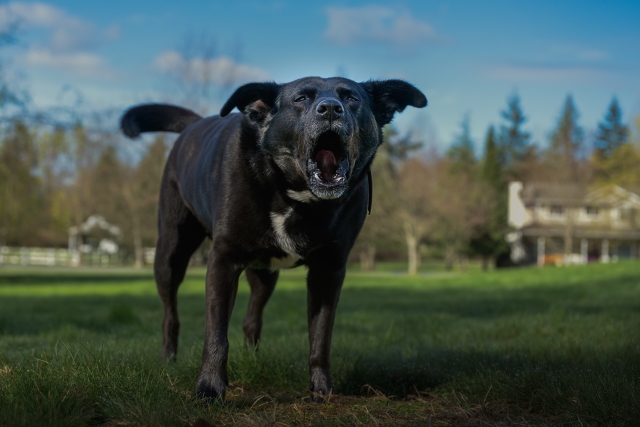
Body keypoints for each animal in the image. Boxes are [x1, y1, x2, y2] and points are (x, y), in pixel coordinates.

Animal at [122, 76, 428, 402]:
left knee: (251, 318)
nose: (331, 109)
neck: (296, 197)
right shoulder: (223, 260)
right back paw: (169, 362)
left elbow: (321, 335)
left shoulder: (329, 271)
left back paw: (252, 359)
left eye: (352, 98)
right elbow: (216, 334)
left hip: (264, 273)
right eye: (301, 99)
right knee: (171, 315)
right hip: (171, 252)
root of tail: (195, 125)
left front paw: (322, 389)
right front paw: (209, 388)